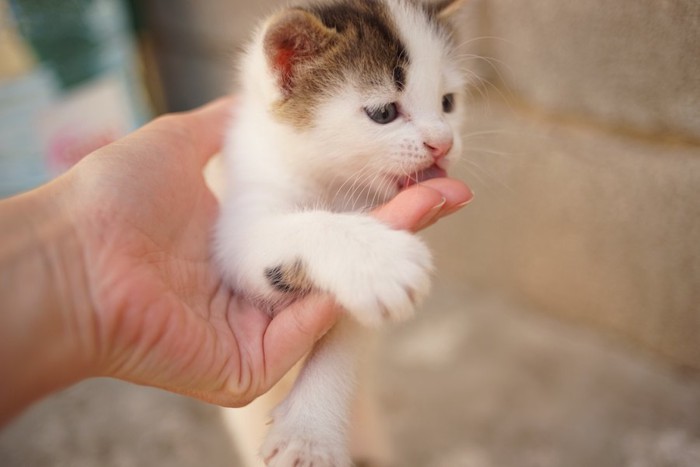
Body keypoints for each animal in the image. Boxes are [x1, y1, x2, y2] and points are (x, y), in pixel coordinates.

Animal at [213, 0, 464, 464]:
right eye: (383, 113)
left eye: (448, 102)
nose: (444, 143)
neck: (328, 182)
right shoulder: (235, 223)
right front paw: (378, 260)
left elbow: (345, 335)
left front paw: (310, 431)